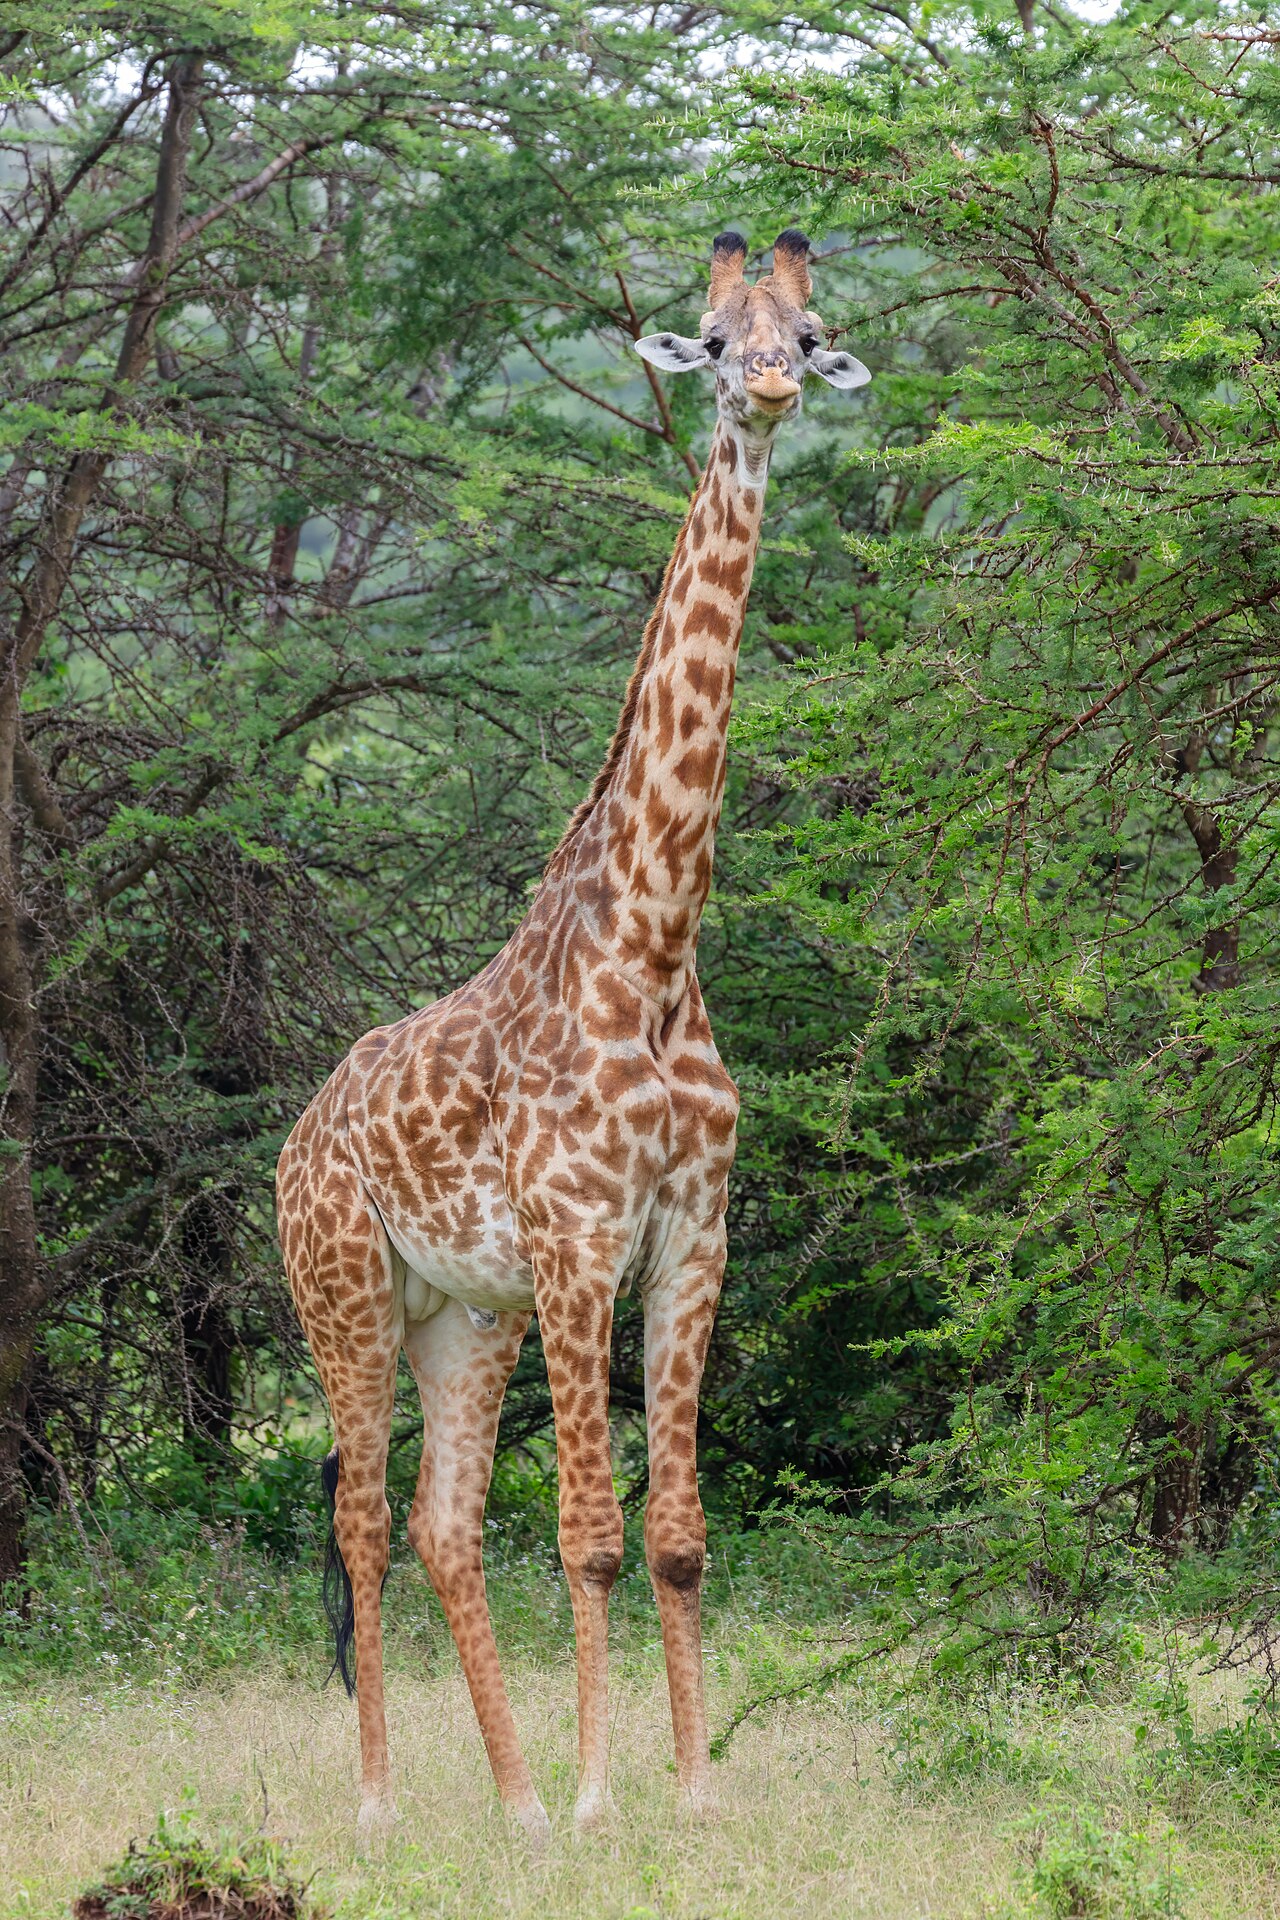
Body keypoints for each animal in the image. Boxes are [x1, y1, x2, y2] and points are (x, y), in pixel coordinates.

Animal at [276, 227, 870, 1844]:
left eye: (808, 333)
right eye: (712, 345)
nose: (774, 387)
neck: (653, 946)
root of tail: (292, 1142)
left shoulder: (691, 1233)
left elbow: (677, 1535)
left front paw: (685, 1789)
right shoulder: (576, 1235)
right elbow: (592, 1533)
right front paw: (613, 1797)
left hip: (459, 1316)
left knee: (441, 1524)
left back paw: (517, 1802)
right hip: (344, 1293)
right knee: (363, 1518)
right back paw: (384, 1807)